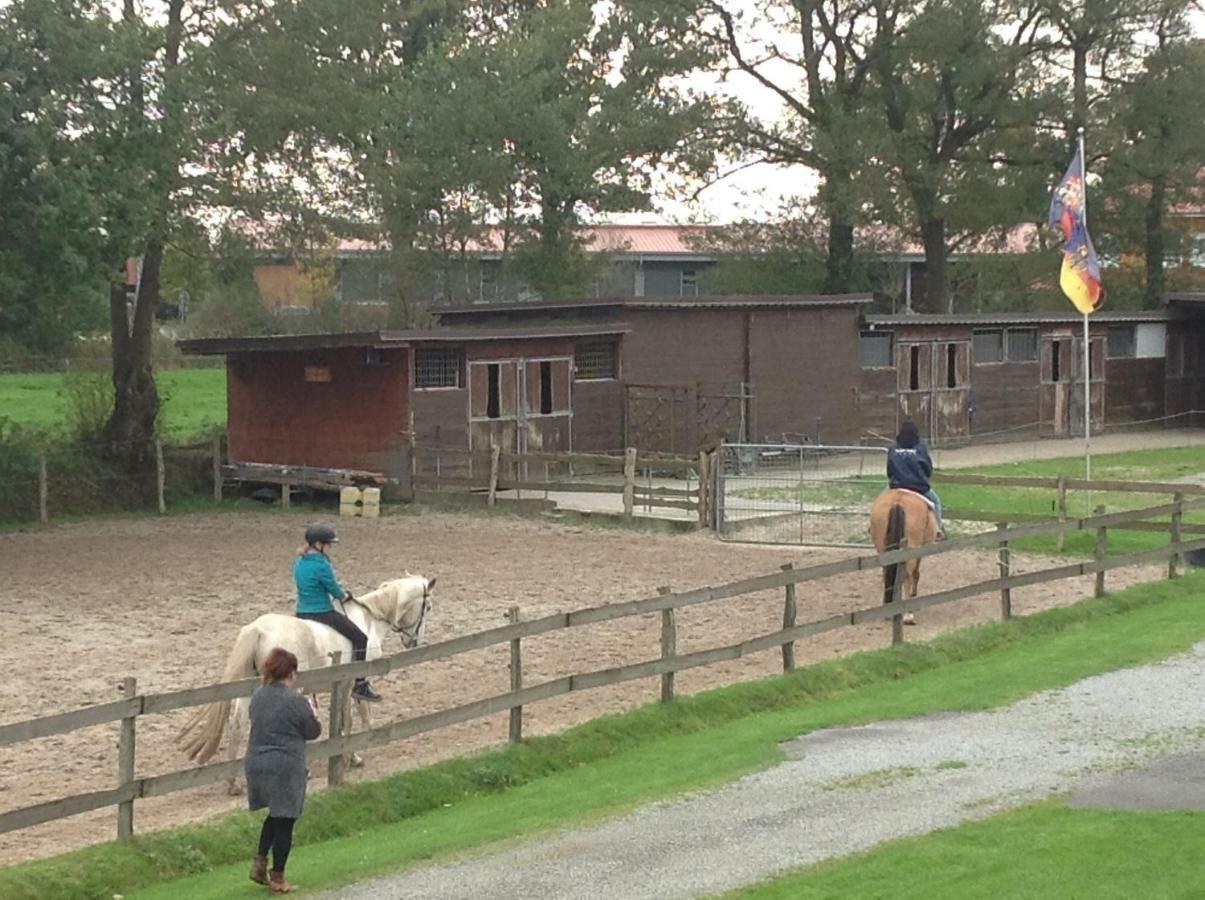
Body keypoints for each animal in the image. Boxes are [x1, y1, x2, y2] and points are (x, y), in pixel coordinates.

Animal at [175, 573, 436, 790]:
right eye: (429, 607)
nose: (414, 641)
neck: (369, 621)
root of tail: (258, 629)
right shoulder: (351, 682)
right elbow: (353, 717)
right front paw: (353, 756)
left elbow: (344, 718)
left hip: (248, 691)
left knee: (237, 726)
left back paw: (233, 782)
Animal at [872, 489, 935, 621]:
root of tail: (898, 502)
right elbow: (916, 574)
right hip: (911, 549)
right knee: (908, 575)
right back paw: (908, 614)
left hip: (883, 549)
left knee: (887, 572)